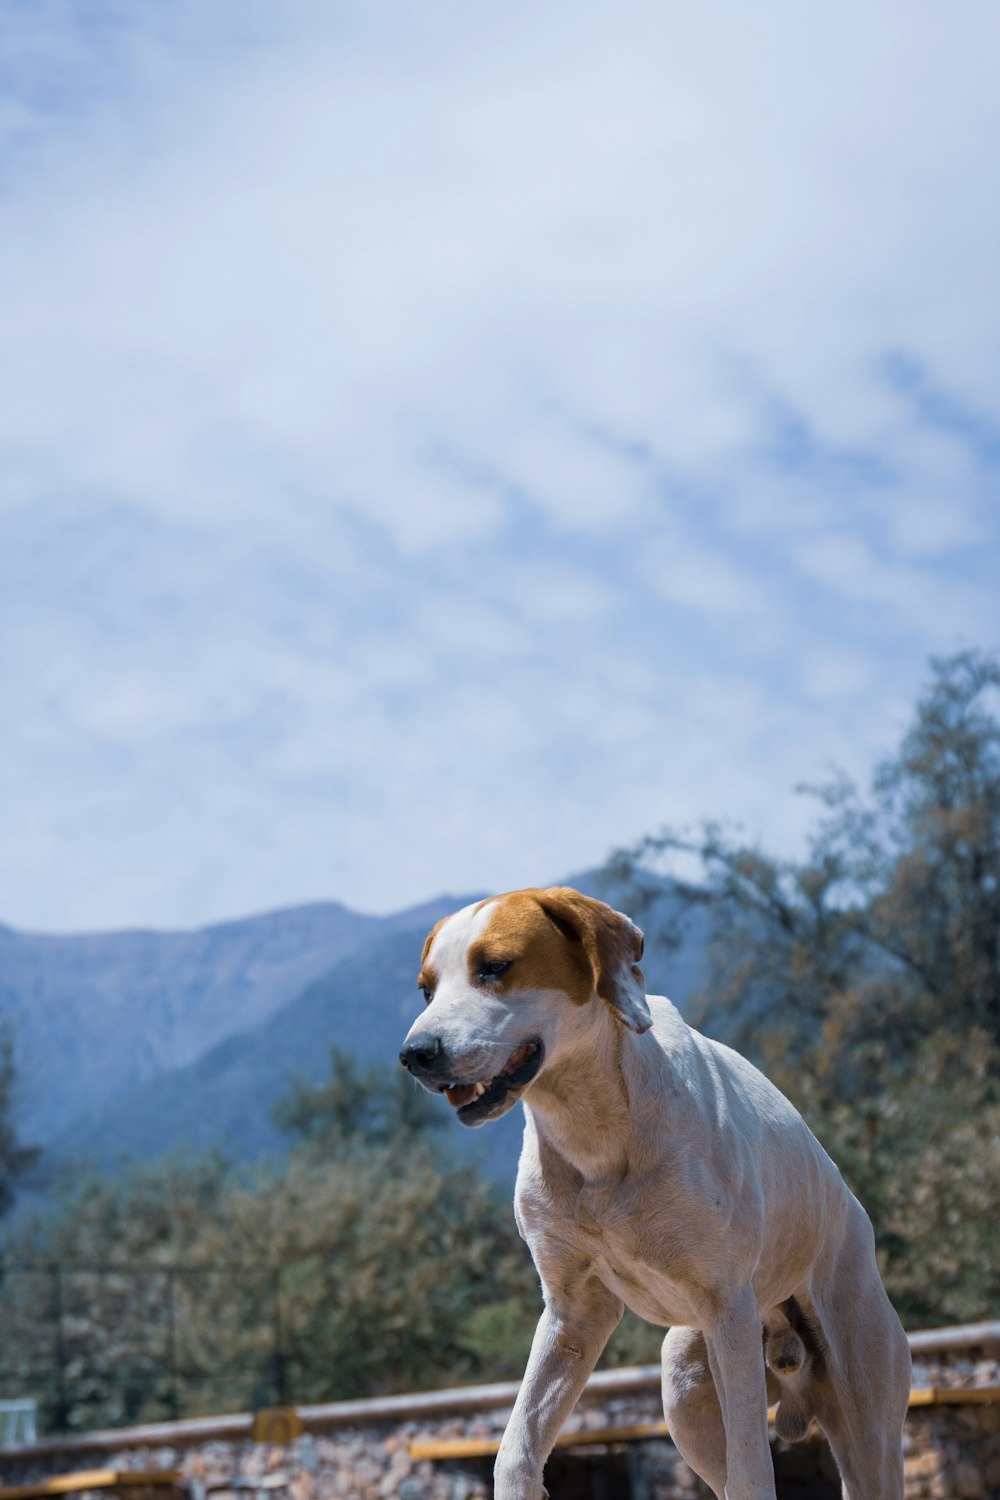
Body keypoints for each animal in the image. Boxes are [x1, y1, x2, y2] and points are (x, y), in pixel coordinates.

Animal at [398, 882, 917, 1494]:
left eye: (495, 967)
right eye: (426, 989)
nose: (415, 1054)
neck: (594, 1130)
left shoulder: (726, 1309)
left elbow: (753, 1467)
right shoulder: (573, 1315)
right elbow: (516, 1450)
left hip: (862, 1415)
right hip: (685, 1385)